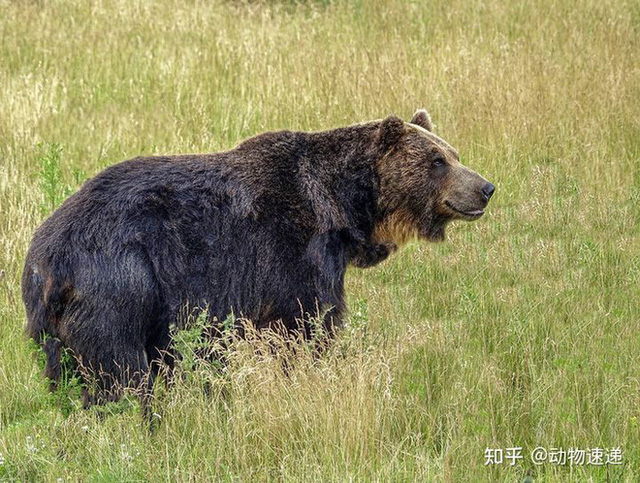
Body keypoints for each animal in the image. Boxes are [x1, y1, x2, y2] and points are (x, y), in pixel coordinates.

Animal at [22, 108, 496, 408]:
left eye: (454, 153)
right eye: (437, 160)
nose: (486, 187)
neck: (341, 210)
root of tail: (47, 258)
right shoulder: (290, 251)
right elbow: (305, 325)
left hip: (58, 320)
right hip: (119, 281)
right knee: (119, 369)